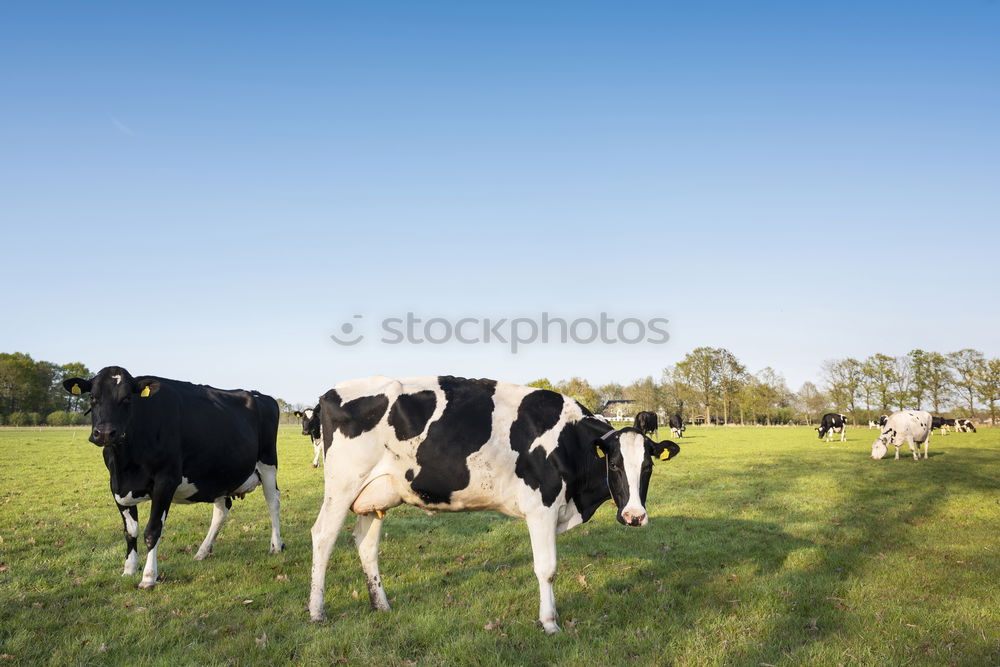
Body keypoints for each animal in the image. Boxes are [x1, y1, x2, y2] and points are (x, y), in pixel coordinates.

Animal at [61, 366, 284, 588]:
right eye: (92, 397)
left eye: (127, 398)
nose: (106, 433)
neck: (125, 464)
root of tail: (260, 395)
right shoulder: (116, 486)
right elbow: (130, 531)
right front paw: (129, 569)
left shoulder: (165, 481)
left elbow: (152, 531)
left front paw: (149, 577)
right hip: (220, 473)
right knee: (222, 510)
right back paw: (203, 551)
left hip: (268, 464)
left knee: (272, 502)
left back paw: (276, 546)